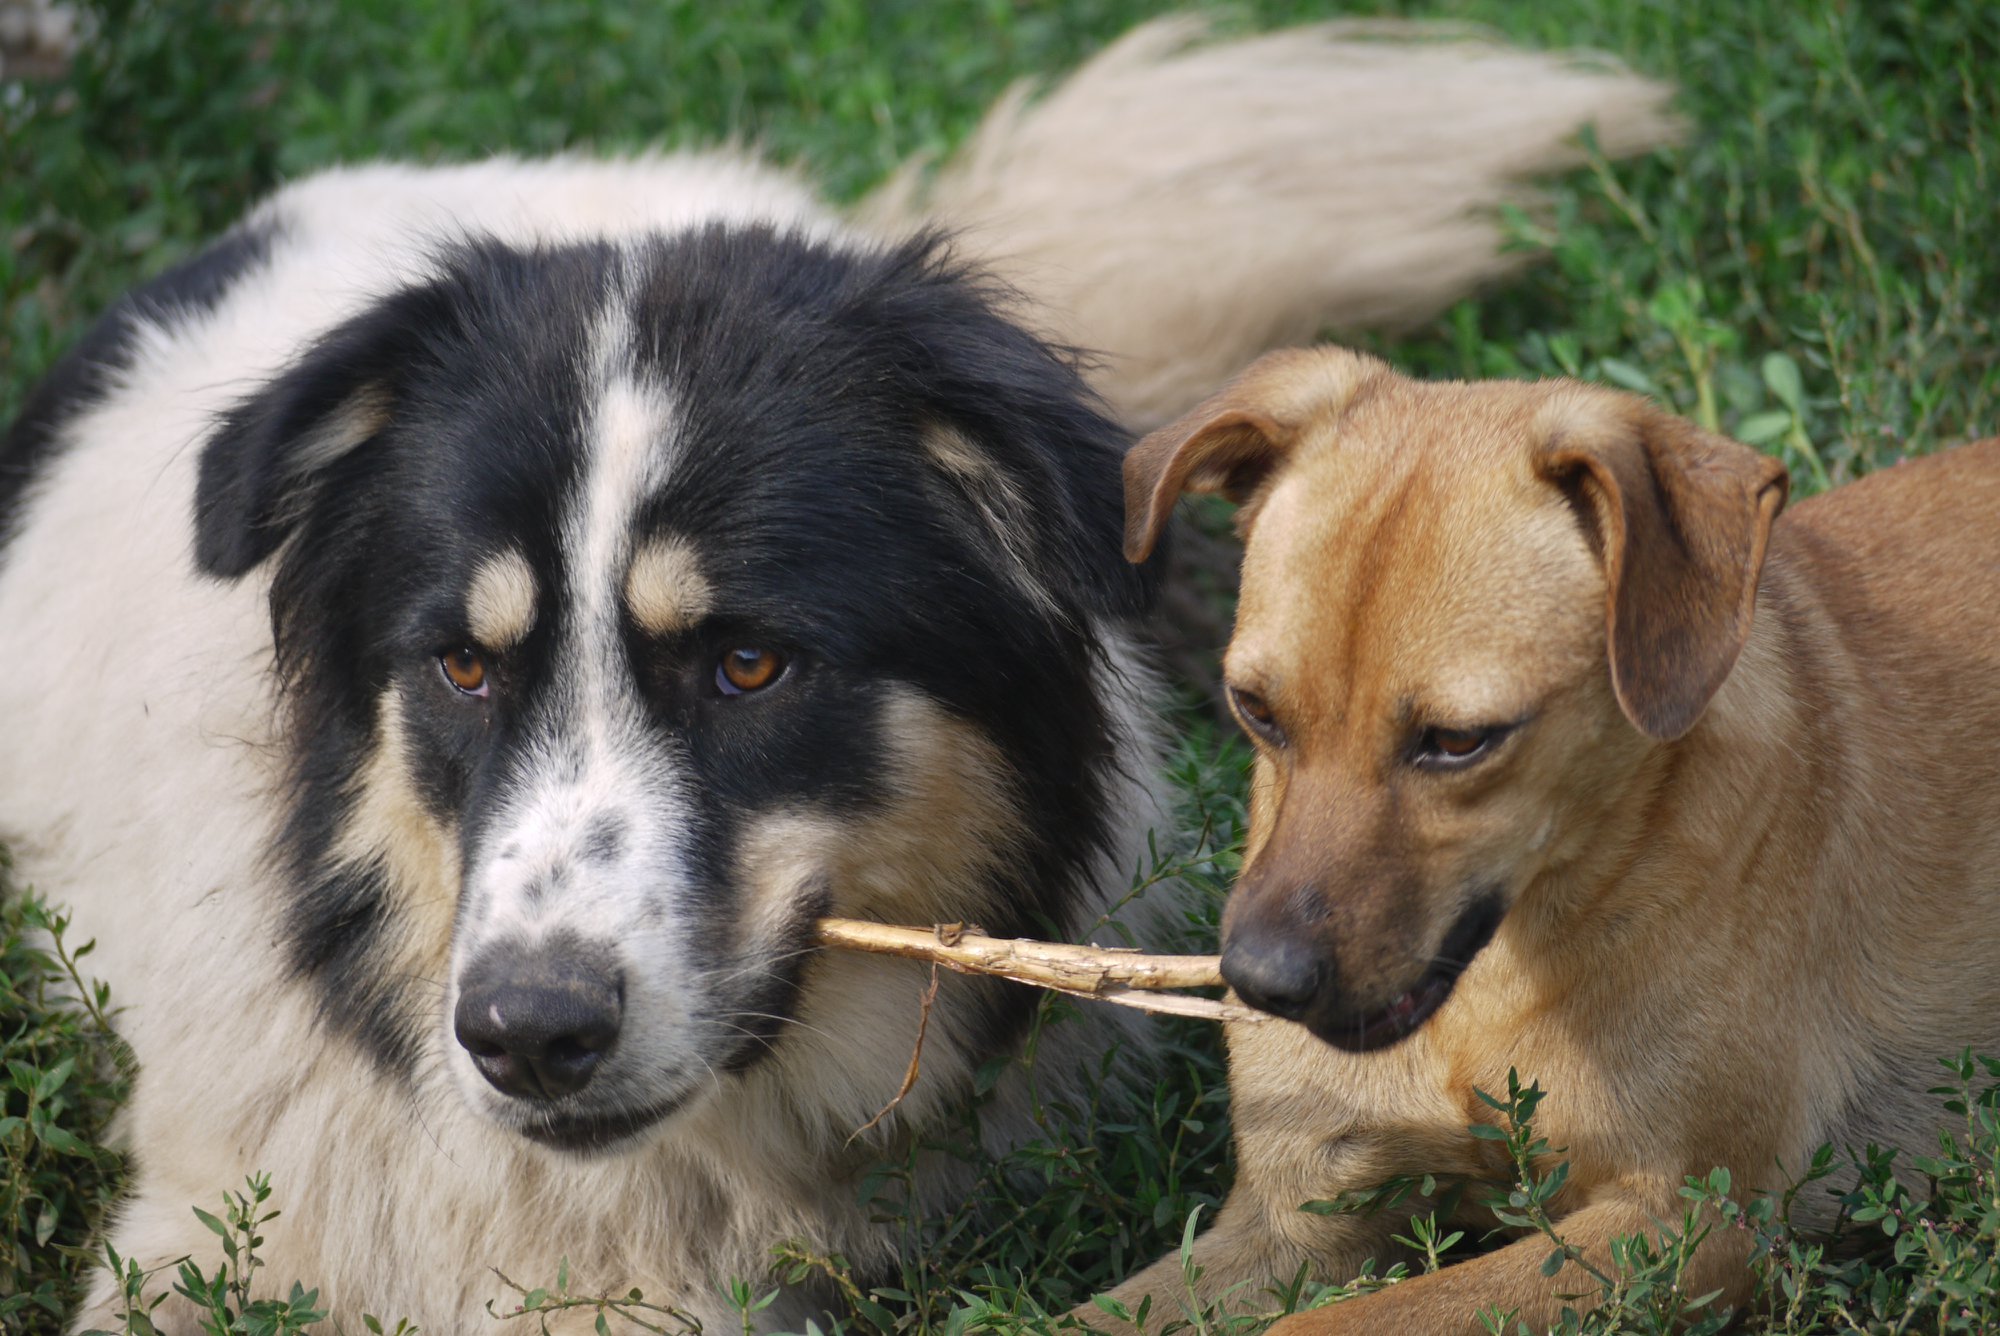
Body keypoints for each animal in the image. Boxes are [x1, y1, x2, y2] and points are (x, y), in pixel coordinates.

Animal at [1096, 350, 2000, 1328]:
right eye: (1254, 708)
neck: (1488, 997)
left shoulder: (1685, 1221)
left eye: (1459, 740)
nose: (1260, 981)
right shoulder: (1288, 1223)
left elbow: (1351, 1316)